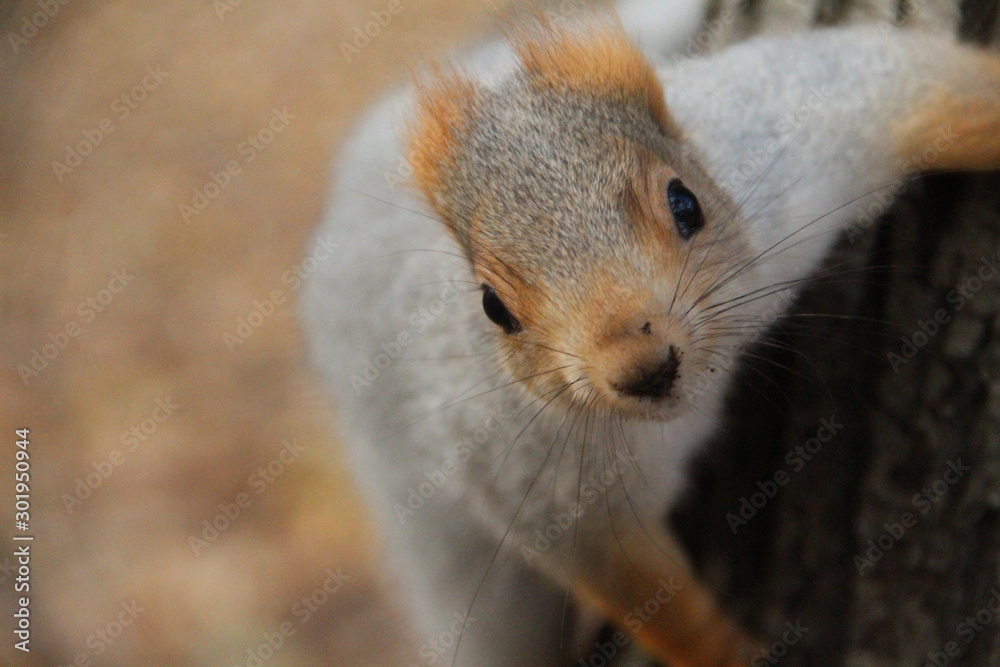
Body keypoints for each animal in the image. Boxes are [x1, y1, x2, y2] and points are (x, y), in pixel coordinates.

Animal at [301, 1, 1000, 665]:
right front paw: (732, 653)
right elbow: (645, 594)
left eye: (685, 202)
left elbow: (906, 79)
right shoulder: (535, 480)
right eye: (494, 308)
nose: (644, 367)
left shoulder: (798, 140)